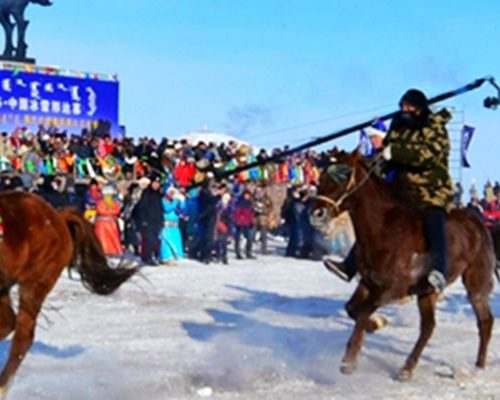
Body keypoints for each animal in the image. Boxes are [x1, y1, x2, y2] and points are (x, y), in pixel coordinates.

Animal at [310, 150, 498, 382]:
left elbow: (362, 312)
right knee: (428, 327)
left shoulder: (393, 289)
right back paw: (407, 368)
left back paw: (478, 366)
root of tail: (480, 224)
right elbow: (352, 309)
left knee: (485, 321)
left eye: (344, 175)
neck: (385, 230)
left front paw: (349, 361)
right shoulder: (368, 283)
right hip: (427, 291)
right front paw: (376, 324)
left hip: (476, 282)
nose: (317, 214)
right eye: (322, 175)